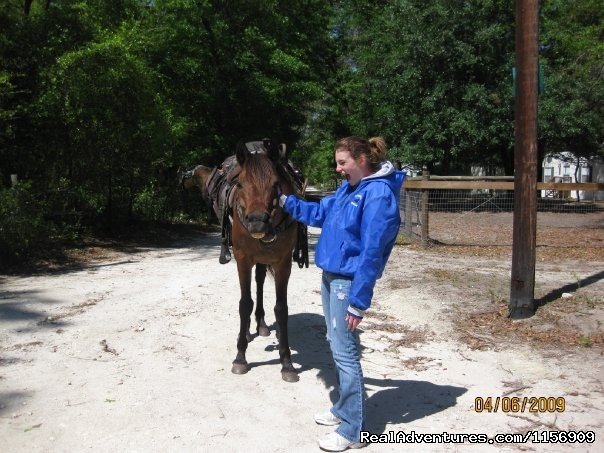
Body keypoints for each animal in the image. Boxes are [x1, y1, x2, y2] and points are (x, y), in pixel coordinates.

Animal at [221, 139, 300, 382]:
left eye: (275, 184)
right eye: (240, 184)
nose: (257, 223)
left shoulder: (283, 263)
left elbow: (281, 308)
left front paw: (287, 363)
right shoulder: (242, 259)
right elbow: (244, 304)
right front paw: (240, 357)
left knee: (260, 282)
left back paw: (261, 324)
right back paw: (247, 331)